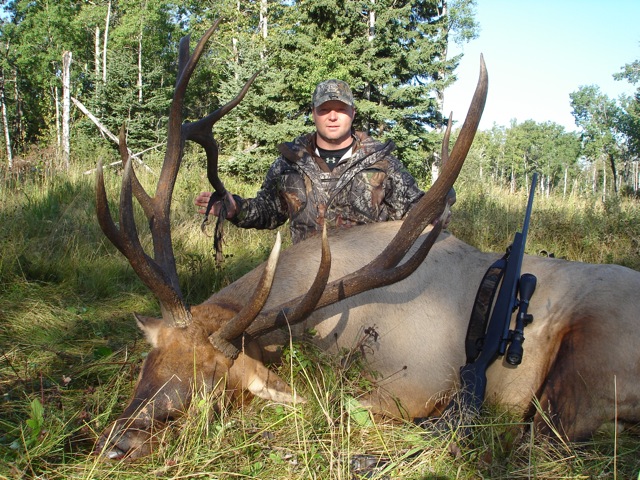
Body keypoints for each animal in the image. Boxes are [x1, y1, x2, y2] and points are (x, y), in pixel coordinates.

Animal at [94, 22, 640, 460]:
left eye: (208, 385)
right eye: (146, 366)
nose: (119, 443)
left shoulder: (418, 384)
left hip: (589, 362)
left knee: (552, 432)